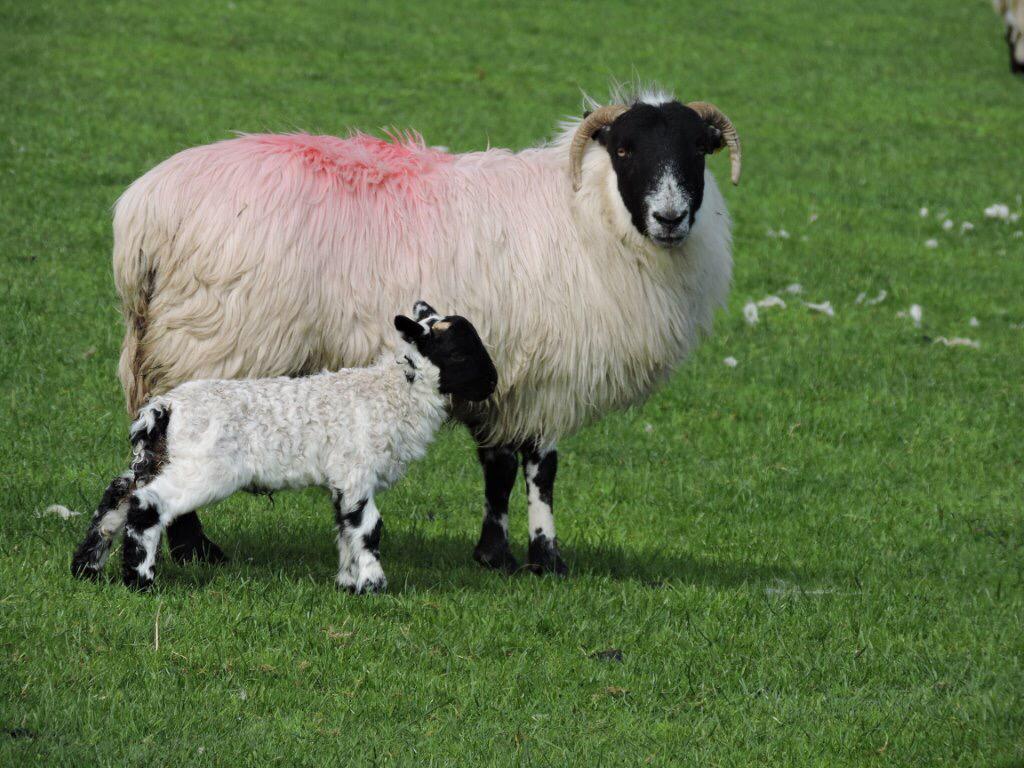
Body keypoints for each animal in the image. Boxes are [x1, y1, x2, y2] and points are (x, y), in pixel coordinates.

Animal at [70, 303, 497, 593]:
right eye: (459, 351)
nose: (492, 384)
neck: (392, 393)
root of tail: (164, 409)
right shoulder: (356, 471)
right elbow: (368, 528)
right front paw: (373, 585)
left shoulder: (341, 479)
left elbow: (346, 527)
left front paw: (348, 583)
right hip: (203, 469)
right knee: (147, 504)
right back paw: (140, 580)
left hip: (157, 459)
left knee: (118, 496)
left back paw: (87, 568)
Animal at [108, 85, 741, 577]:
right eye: (626, 148)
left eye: (696, 150)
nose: (670, 218)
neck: (588, 215)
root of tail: (144, 214)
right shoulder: (544, 380)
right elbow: (540, 471)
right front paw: (546, 560)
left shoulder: (503, 377)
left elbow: (497, 469)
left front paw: (493, 556)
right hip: (206, 344)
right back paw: (196, 548)